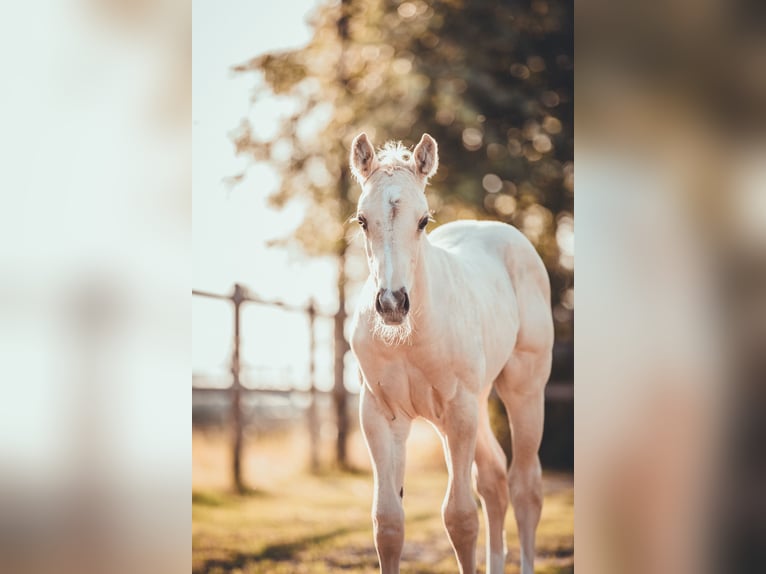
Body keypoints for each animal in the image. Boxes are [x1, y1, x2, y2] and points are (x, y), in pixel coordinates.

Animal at [348, 132, 554, 574]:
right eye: (362, 220)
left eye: (423, 221)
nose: (392, 304)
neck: (408, 337)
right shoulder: (380, 414)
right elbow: (387, 523)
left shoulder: (458, 412)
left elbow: (460, 518)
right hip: (478, 400)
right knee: (494, 480)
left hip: (522, 390)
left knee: (525, 487)